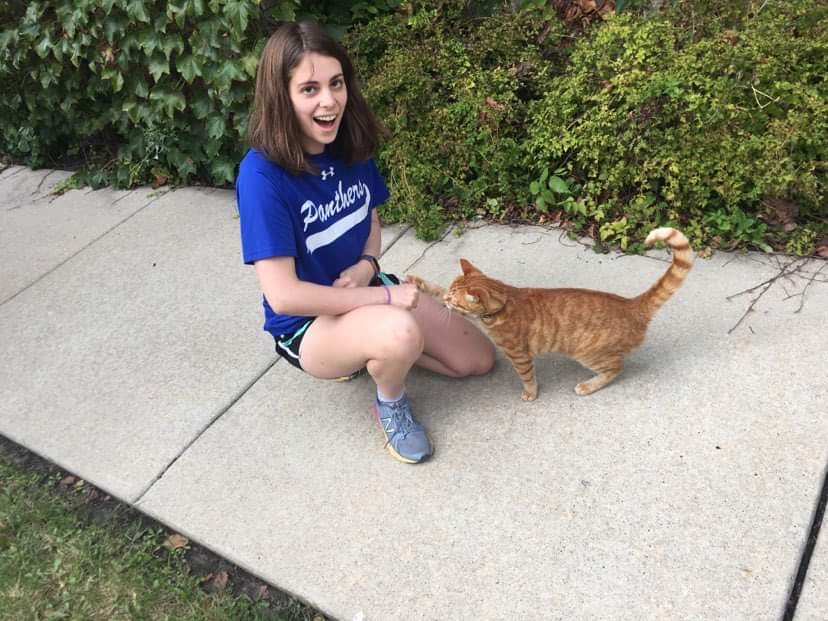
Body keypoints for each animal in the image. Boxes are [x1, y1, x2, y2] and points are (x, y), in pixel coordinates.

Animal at [410, 226, 692, 398]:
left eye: (453, 300)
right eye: (448, 295)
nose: (448, 302)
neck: (503, 301)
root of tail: (632, 304)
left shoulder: (520, 356)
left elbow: (527, 377)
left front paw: (530, 394)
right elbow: (432, 289)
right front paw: (416, 283)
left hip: (588, 354)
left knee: (616, 367)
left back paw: (588, 386)